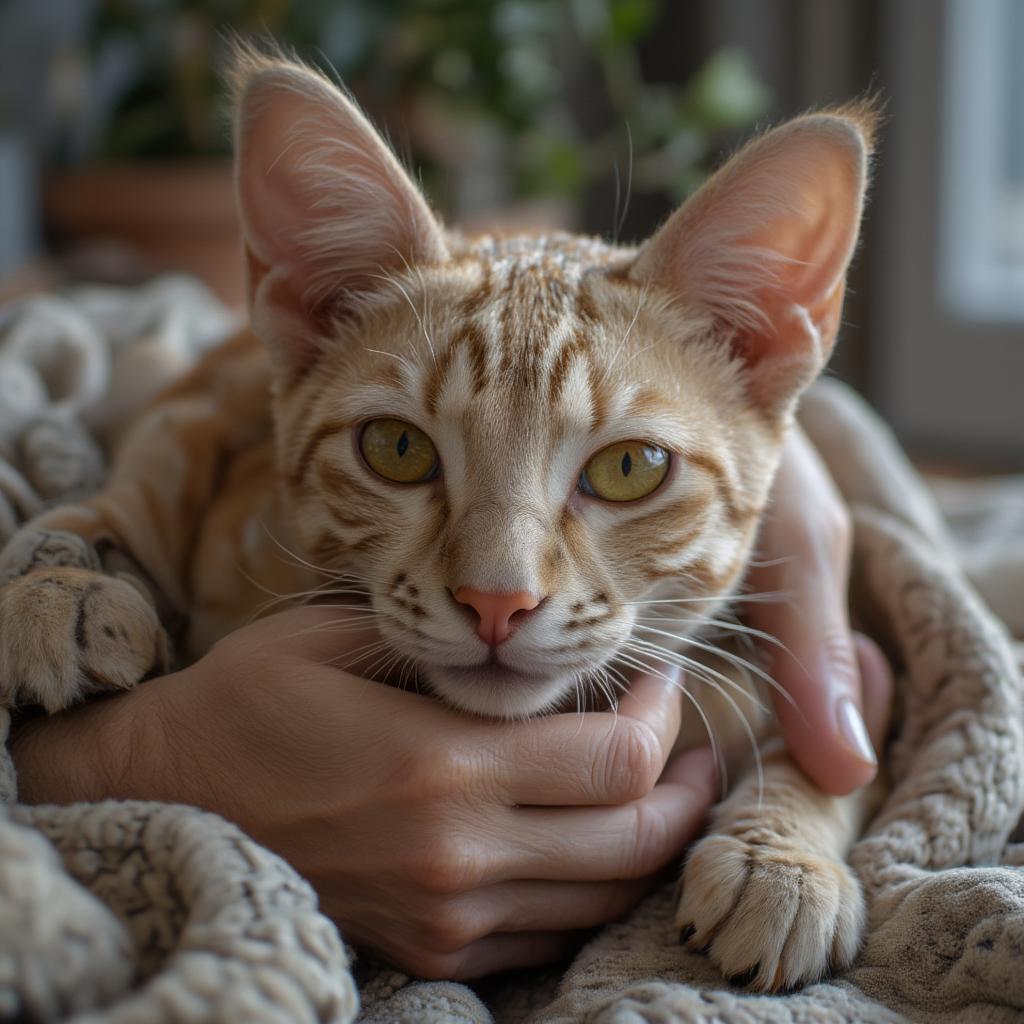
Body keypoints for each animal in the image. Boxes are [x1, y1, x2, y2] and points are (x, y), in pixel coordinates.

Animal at [0, 48, 880, 991]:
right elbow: (147, 485)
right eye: (396, 448)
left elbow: (835, 747)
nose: (497, 601)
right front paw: (63, 577)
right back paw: (66, 584)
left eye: (630, 468)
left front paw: (782, 856)